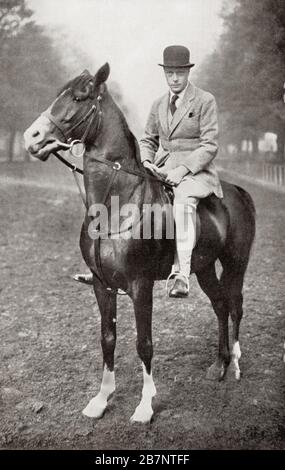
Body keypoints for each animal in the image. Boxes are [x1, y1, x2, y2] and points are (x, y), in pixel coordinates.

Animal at [23, 61, 255, 422]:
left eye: (79, 97)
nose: (31, 138)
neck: (116, 204)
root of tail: (237, 192)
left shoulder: (140, 285)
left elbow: (144, 344)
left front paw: (145, 406)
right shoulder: (101, 284)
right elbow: (108, 338)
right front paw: (101, 399)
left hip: (236, 263)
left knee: (235, 305)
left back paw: (236, 363)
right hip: (203, 268)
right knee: (219, 304)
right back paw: (219, 364)